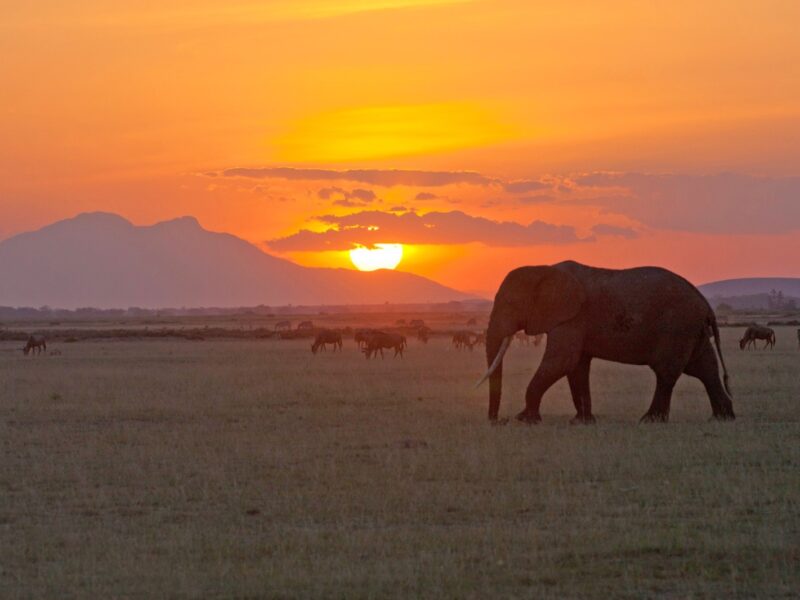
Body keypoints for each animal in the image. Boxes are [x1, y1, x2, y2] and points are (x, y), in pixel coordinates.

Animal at [478, 260, 736, 424]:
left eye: (509, 303)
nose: (498, 420)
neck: (544, 269)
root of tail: (706, 306)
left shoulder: (572, 318)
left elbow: (561, 362)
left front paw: (525, 420)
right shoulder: (574, 321)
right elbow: (576, 367)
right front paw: (581, 422)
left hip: (677, 327)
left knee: (667, 373)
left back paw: (650, 421)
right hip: (693, 331)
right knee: (705, 369)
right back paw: (722, 418)